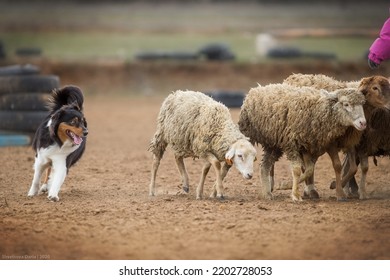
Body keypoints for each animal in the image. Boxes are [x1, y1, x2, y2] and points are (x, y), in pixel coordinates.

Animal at [238, 83, 366, 201]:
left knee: (264, 166)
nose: (363, 123)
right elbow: (297, 170)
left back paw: (266, 194)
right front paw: (295, 195)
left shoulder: (306, 146)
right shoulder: (291, 144)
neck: (318, 110)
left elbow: (309, 169)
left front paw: (287, 186)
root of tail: (256, 89)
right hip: (248, 134)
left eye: (362, 104)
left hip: (273, 144)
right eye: (346, 104)